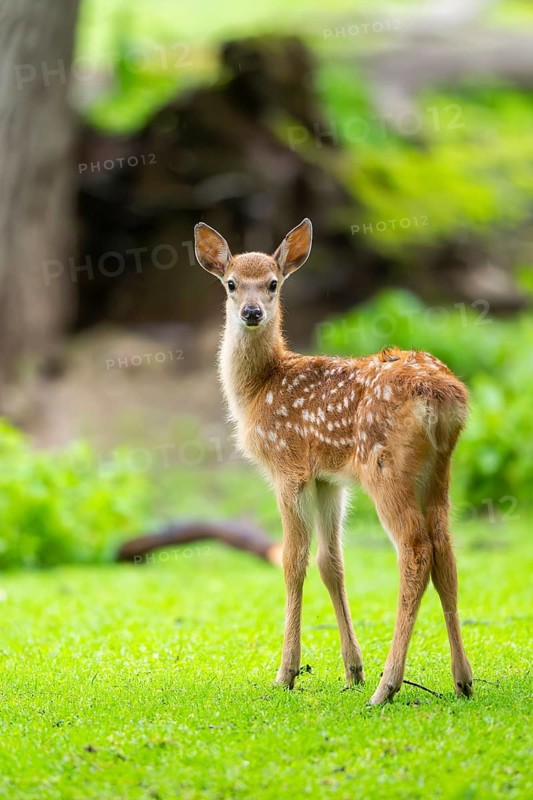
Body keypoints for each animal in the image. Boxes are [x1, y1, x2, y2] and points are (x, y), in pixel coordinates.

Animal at [194, 218, 473, 704]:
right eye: (231, 283)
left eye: (273, 283)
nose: (252, 312)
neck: (259, 389)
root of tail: (442, 396)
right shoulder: (328, 479)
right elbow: (332, 563)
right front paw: (352, 669)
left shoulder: (288, 466)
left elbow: (293, 560)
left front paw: (286, 673)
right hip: (439, 470)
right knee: (445, 551)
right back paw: (462, 680)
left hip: (386, 467)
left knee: (416, 551)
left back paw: (387, 686)